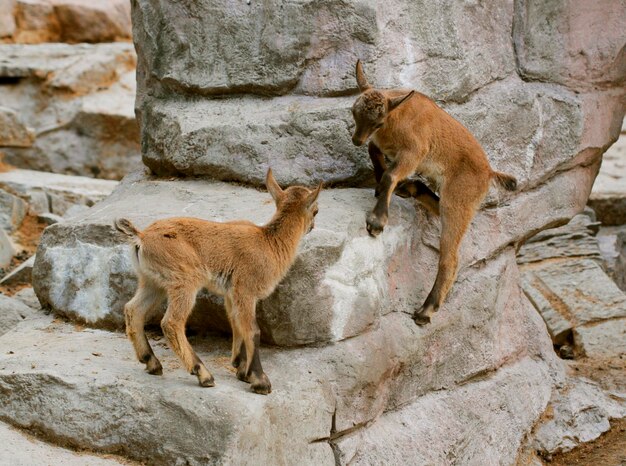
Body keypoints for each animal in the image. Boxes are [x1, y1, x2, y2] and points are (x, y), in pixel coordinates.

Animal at [114, 169, 322, 396]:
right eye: (316, 210)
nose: (313, 226)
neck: (269, 243)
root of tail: (141, 237)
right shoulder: (245, 290)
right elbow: (253, 331)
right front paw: (260, 381)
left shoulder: (231, 295)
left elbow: (236, 325)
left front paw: (242, 370)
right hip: (185, 281)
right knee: (171, 322)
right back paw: (203, 374)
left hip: (152, 282)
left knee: (133, 310)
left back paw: (152, 363)